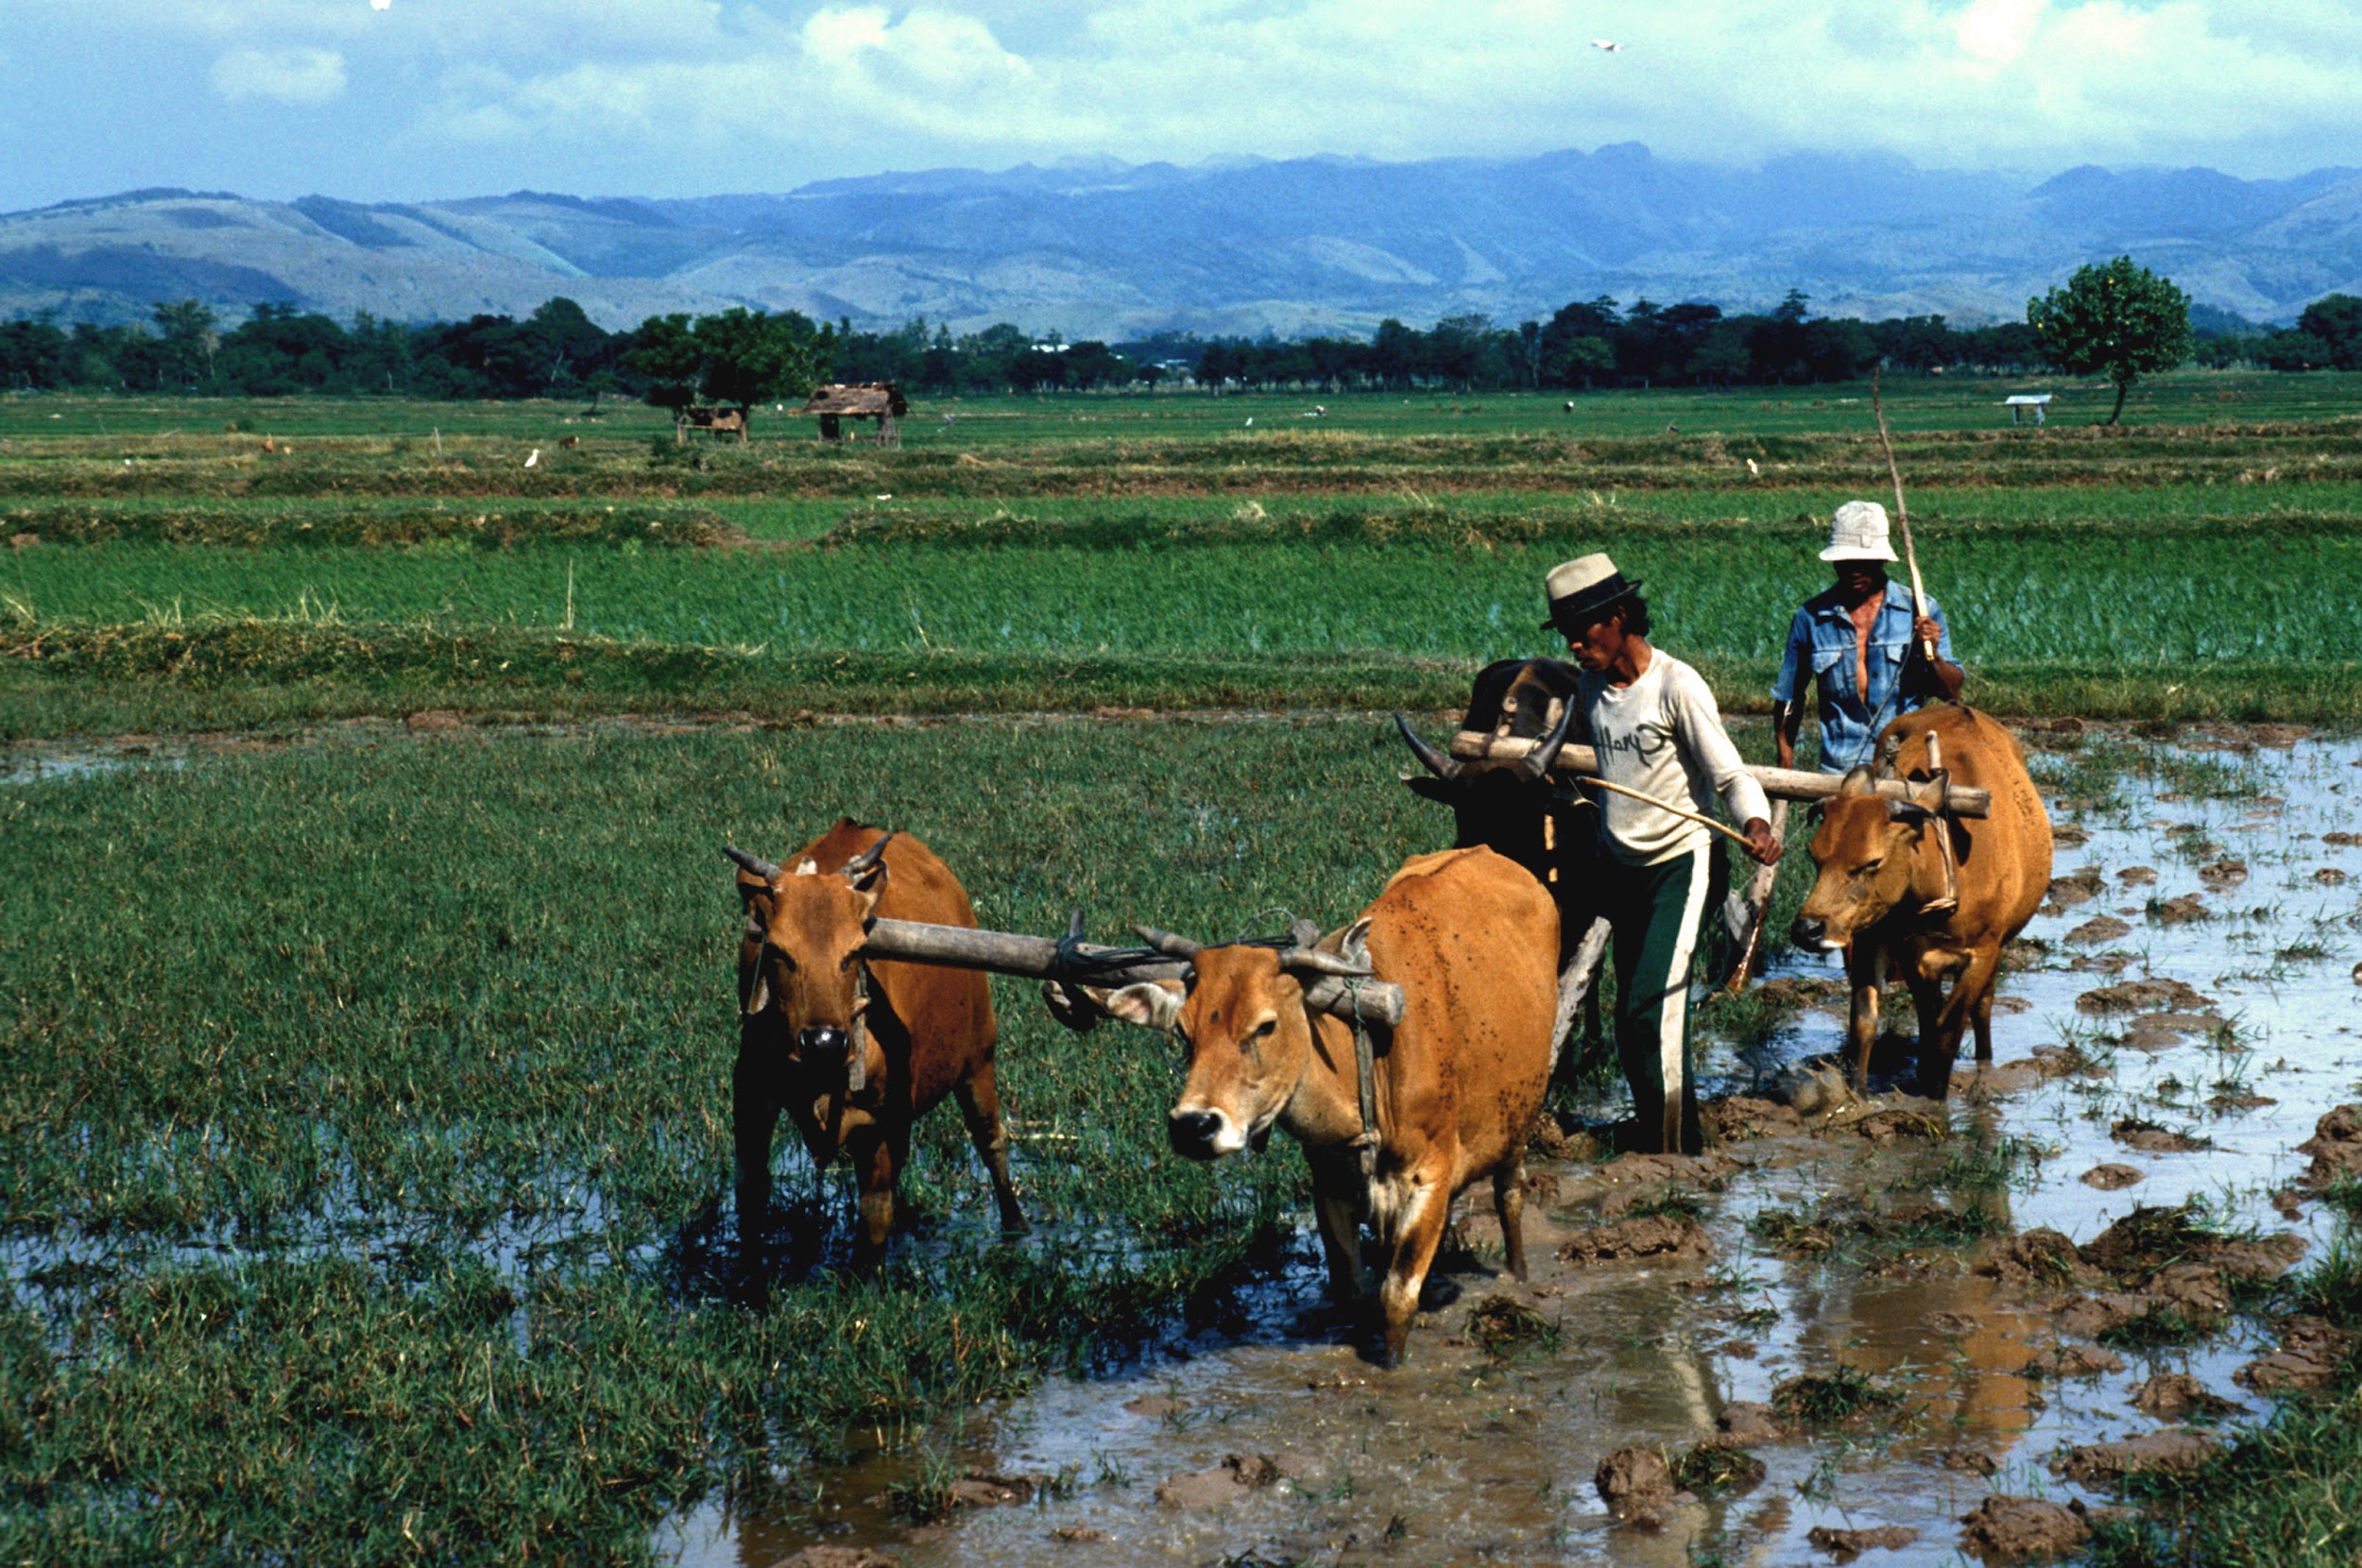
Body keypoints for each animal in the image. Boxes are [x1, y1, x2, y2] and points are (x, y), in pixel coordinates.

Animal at [727, 822, 1025, 1266]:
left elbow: (873, 1220)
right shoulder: (750, 1099)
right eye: (778, 951)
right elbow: (750, 1201)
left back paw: (1016, 1226)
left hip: (979, 1060)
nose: (824, 1042)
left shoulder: (880, 1123)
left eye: (856, 951)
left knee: (992, 1142)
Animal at [1786, 704, 2050, 1096]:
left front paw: (1934, 1098)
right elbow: (1868, 1023)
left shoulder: (1982, 954)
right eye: (1814, 856)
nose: (1808, 928)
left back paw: (1984, 1065)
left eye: (1872, 862)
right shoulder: (1889, 945)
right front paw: (1858, 1096)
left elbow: (1949, 1032)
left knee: (1983, 1007)